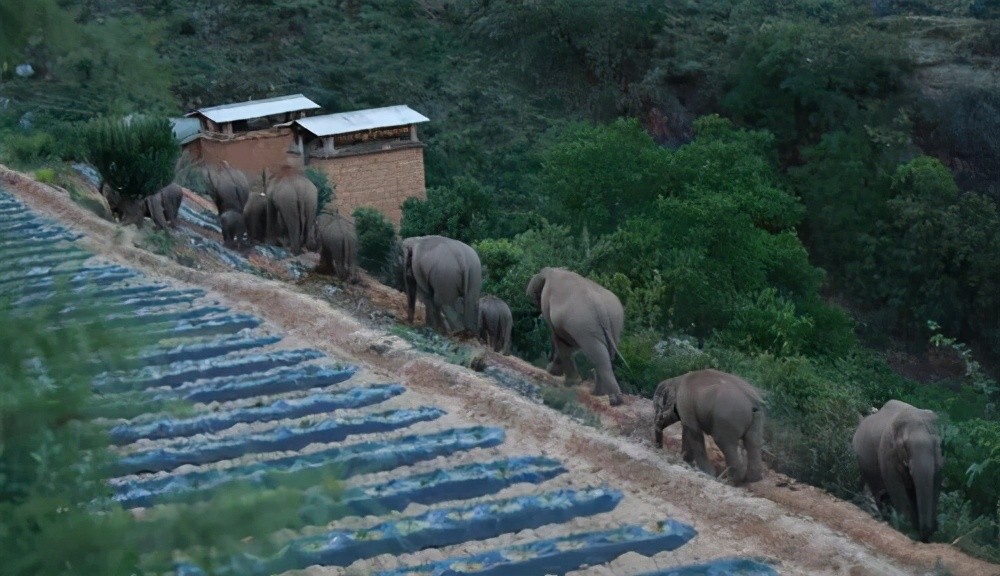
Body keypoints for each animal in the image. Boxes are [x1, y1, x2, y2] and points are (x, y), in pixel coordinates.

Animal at [528, 268, 620, 408]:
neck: (551, 270)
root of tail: (601, 308)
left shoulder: (548, 303)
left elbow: (558, 337)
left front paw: (562, 377)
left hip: (583, 324)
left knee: (596, 355)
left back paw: (614, 400)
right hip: (613, 324)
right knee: (604, 356)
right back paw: (601, 395)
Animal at [848, 400, 940, 540]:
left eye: (936, 444)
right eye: (905, 446)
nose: (926, 533)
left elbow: (935, 487)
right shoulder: (887, 452)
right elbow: (897, 488)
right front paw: (908, 531)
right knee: (877, 489)